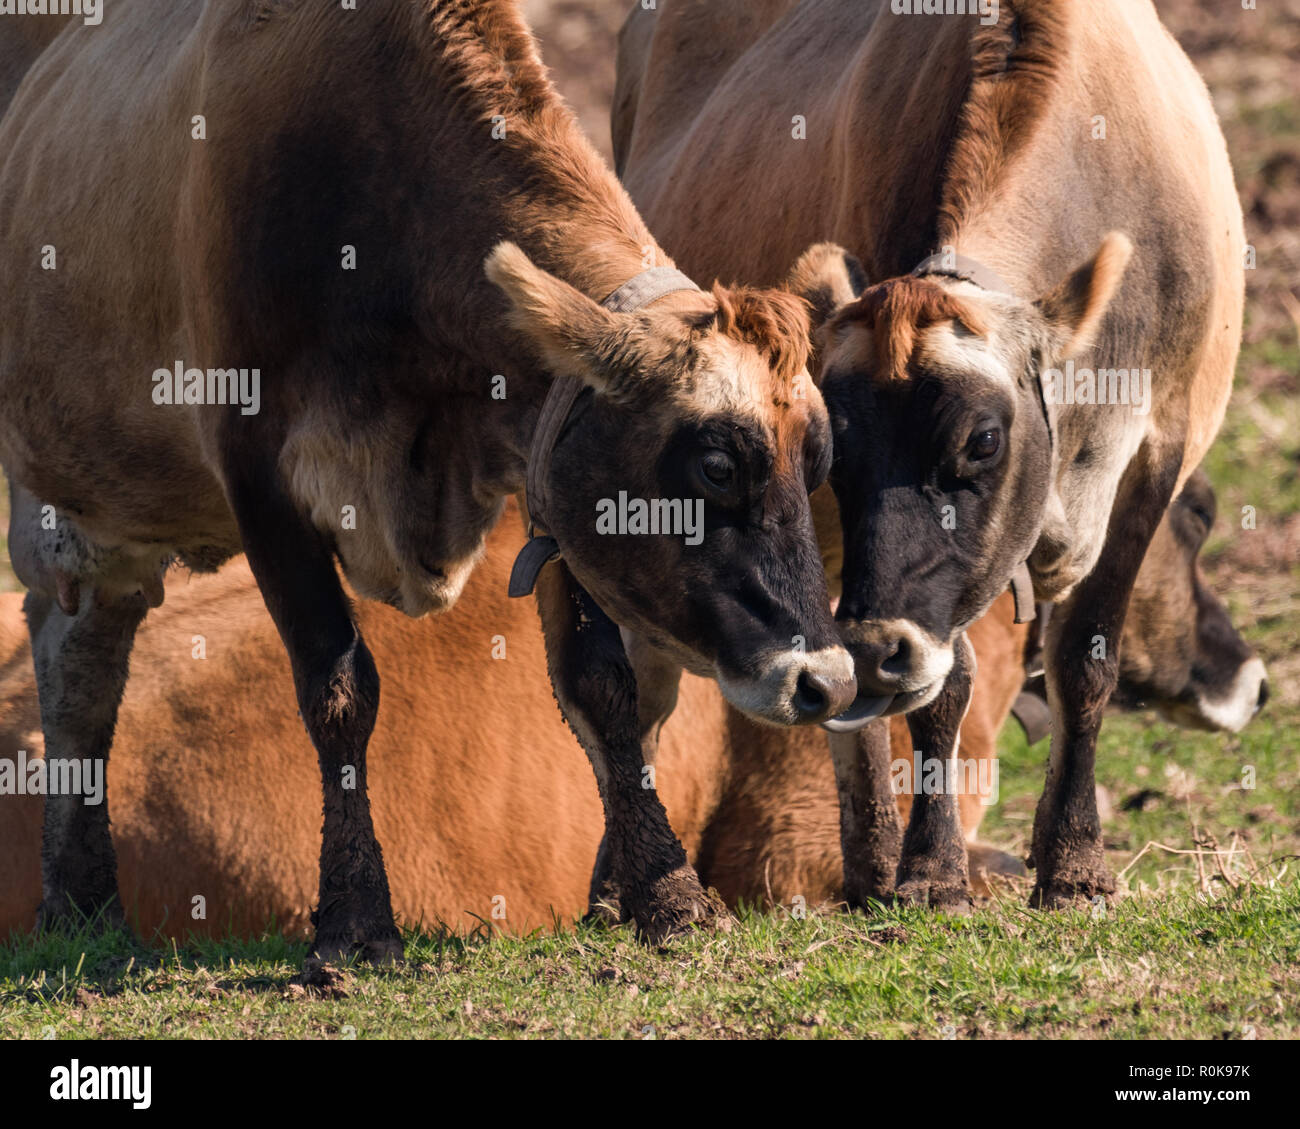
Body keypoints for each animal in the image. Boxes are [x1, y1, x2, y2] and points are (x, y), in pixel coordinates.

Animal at [0, 0, 863, 962]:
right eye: (715, 464)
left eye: (817, 462)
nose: (828, 682)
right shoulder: (258, 475)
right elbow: (338, 690)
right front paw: (352, 919)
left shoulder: (543, 467)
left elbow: (603, 683)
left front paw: (666, 893)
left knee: (82, 660)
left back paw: (83, 902)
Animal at [613, 0, 1242, 910]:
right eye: (838, 451)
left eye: (983, 440)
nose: (882, 647)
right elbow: (945, 686)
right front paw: (934, 871)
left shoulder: (1161, 444)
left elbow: (1086, 657)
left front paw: (1075, 863)